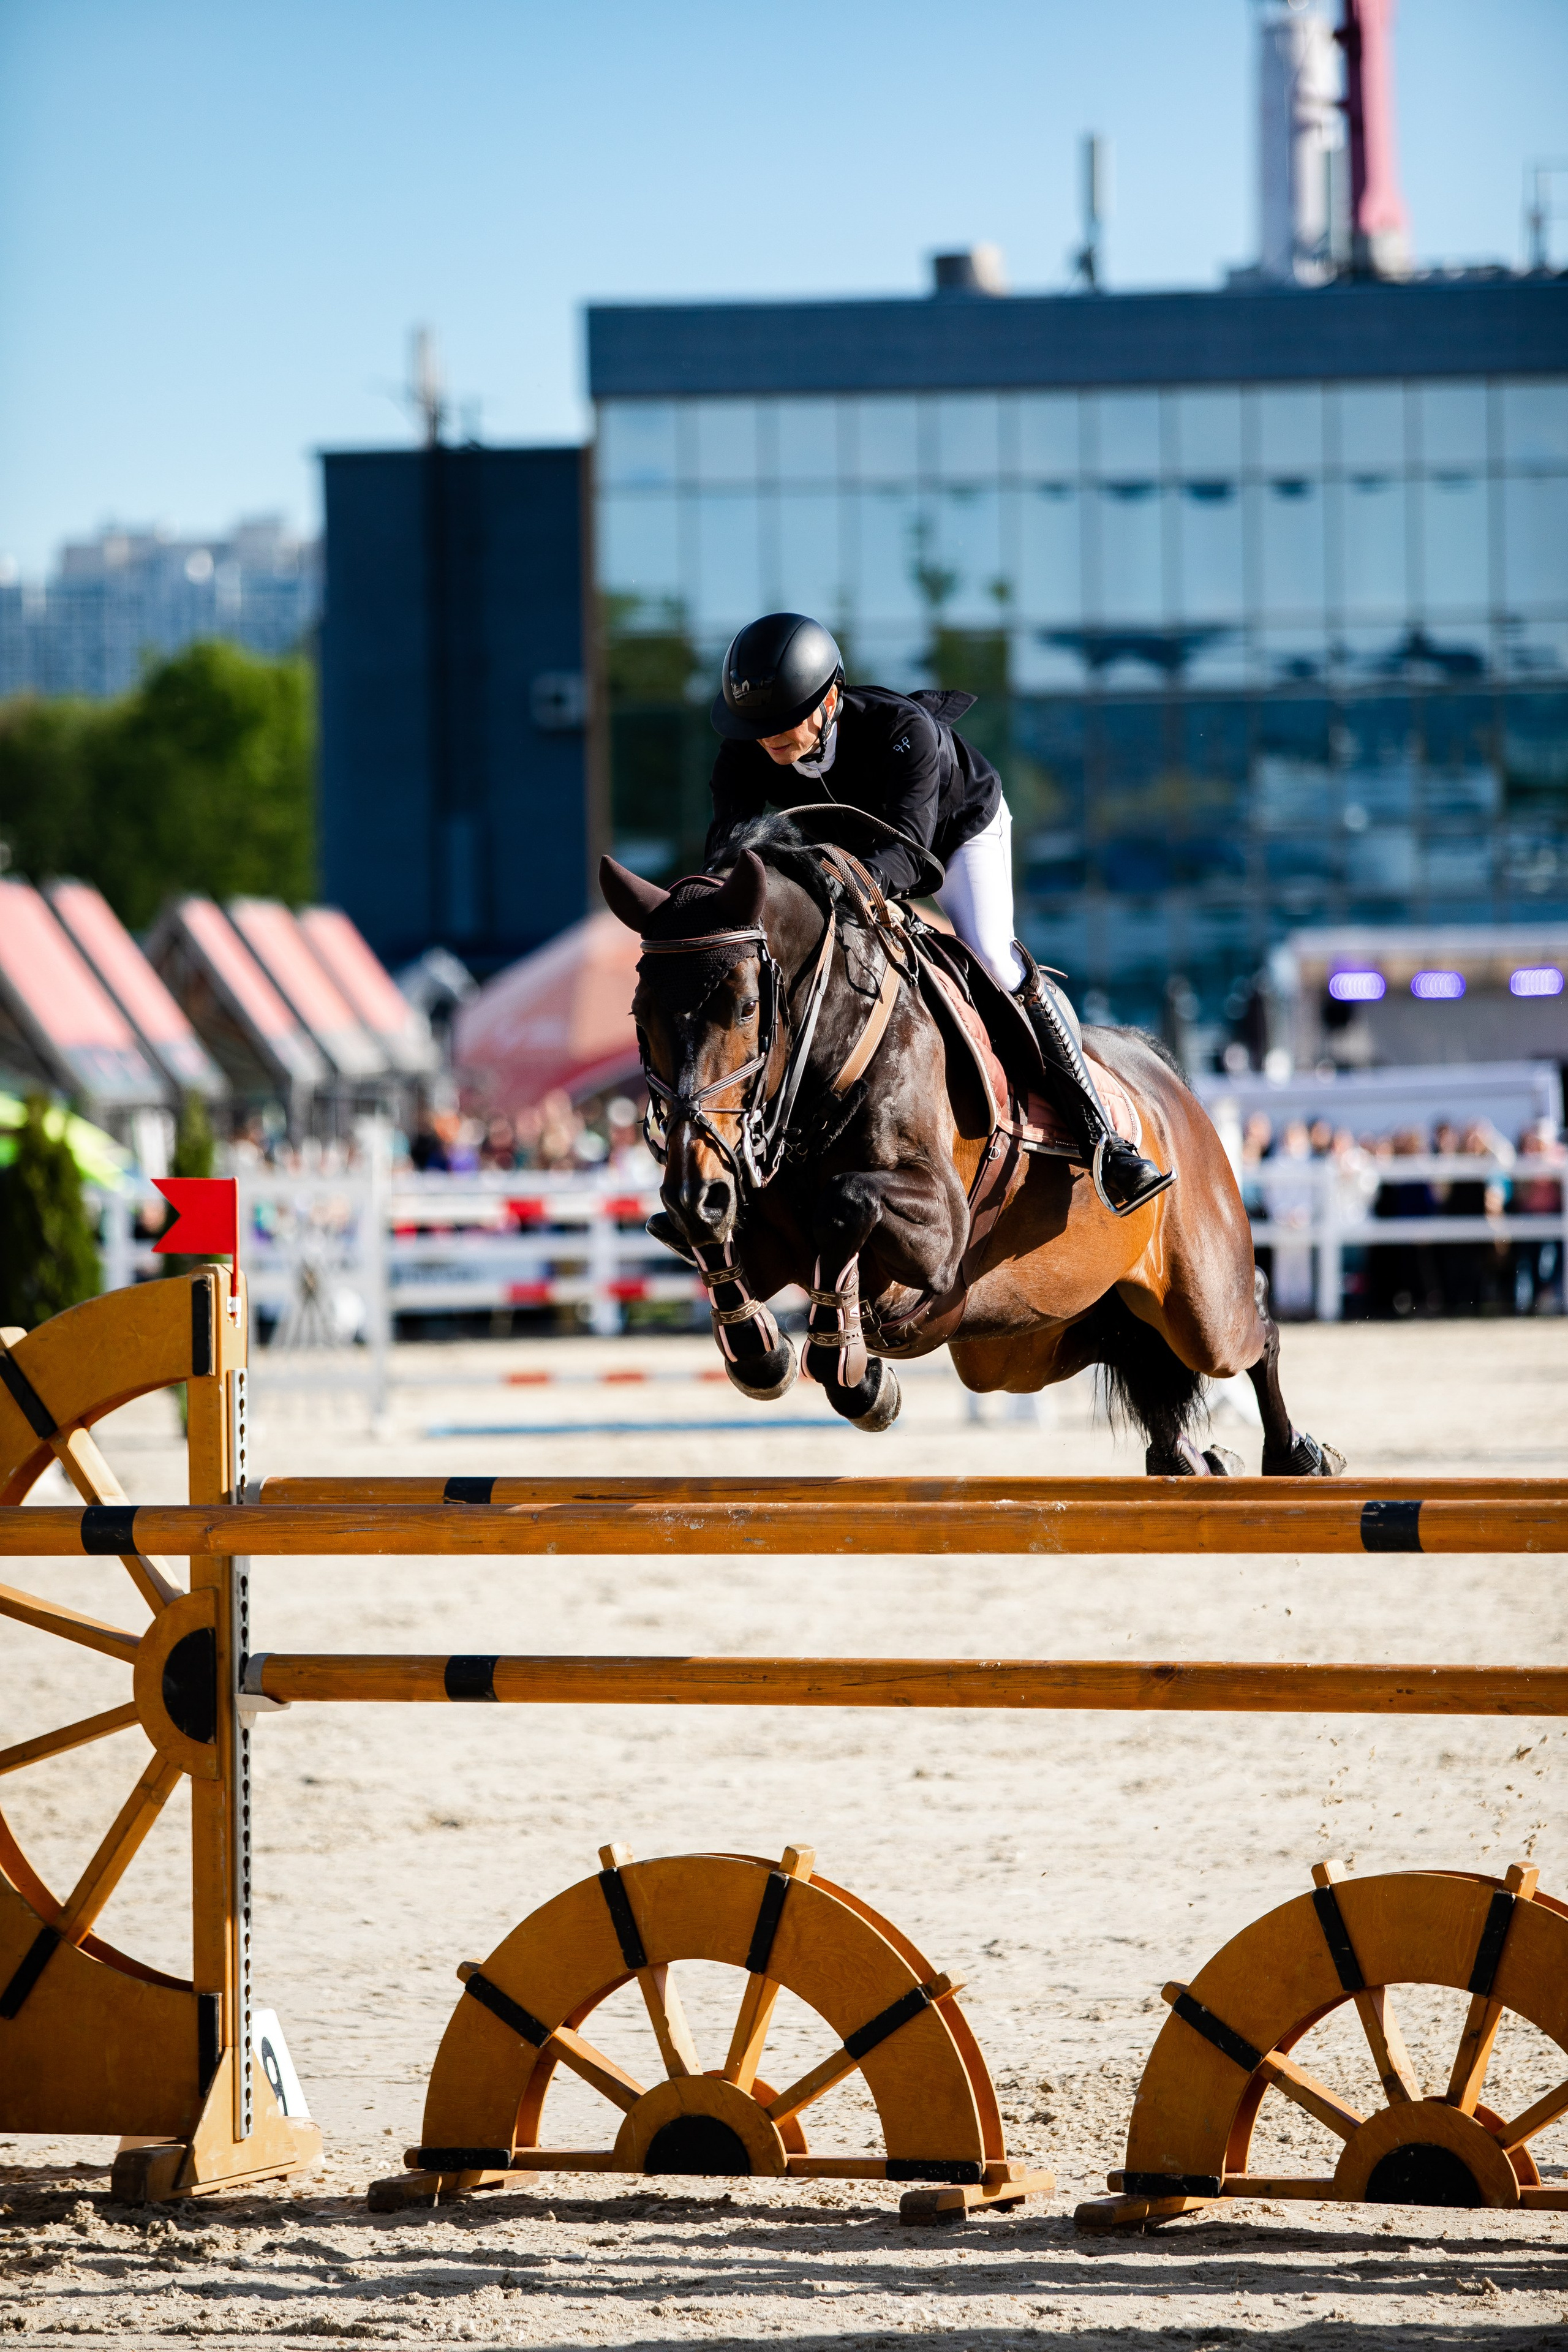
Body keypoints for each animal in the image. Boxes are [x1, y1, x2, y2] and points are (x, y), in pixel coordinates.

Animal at [601, 819, 1342, 1477]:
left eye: (747, 1007)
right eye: (638, 1015)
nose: (695, 1184)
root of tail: (1165, 1075)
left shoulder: (941, 1230)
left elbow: (845, 1204)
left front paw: (855, 1373)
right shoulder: (759, 1235)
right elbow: (722, 1248)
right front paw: (767, 1352)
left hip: (1200, 1305)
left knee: (1250, 1331)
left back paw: (1296, 1454)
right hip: (1021, 1346)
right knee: (1127, 1349)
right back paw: (1187, 1458)